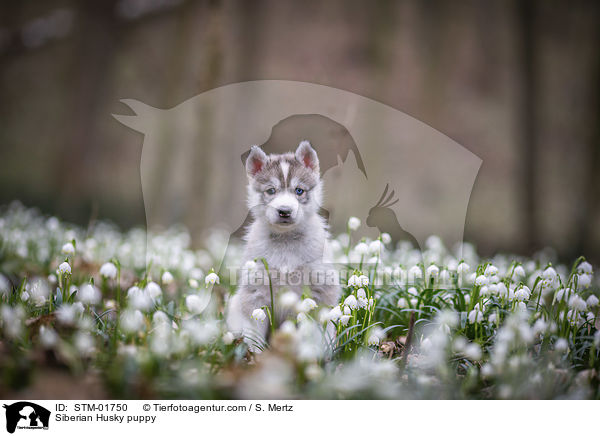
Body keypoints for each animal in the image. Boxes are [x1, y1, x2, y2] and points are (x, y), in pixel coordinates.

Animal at [226, 141, 340, 342]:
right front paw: (255, 351)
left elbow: (320, 329)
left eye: (299, 191)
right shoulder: (255, 292)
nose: (284, 211)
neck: (286, 240)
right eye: (271, 190)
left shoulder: (322, 288)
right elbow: (254, 334)